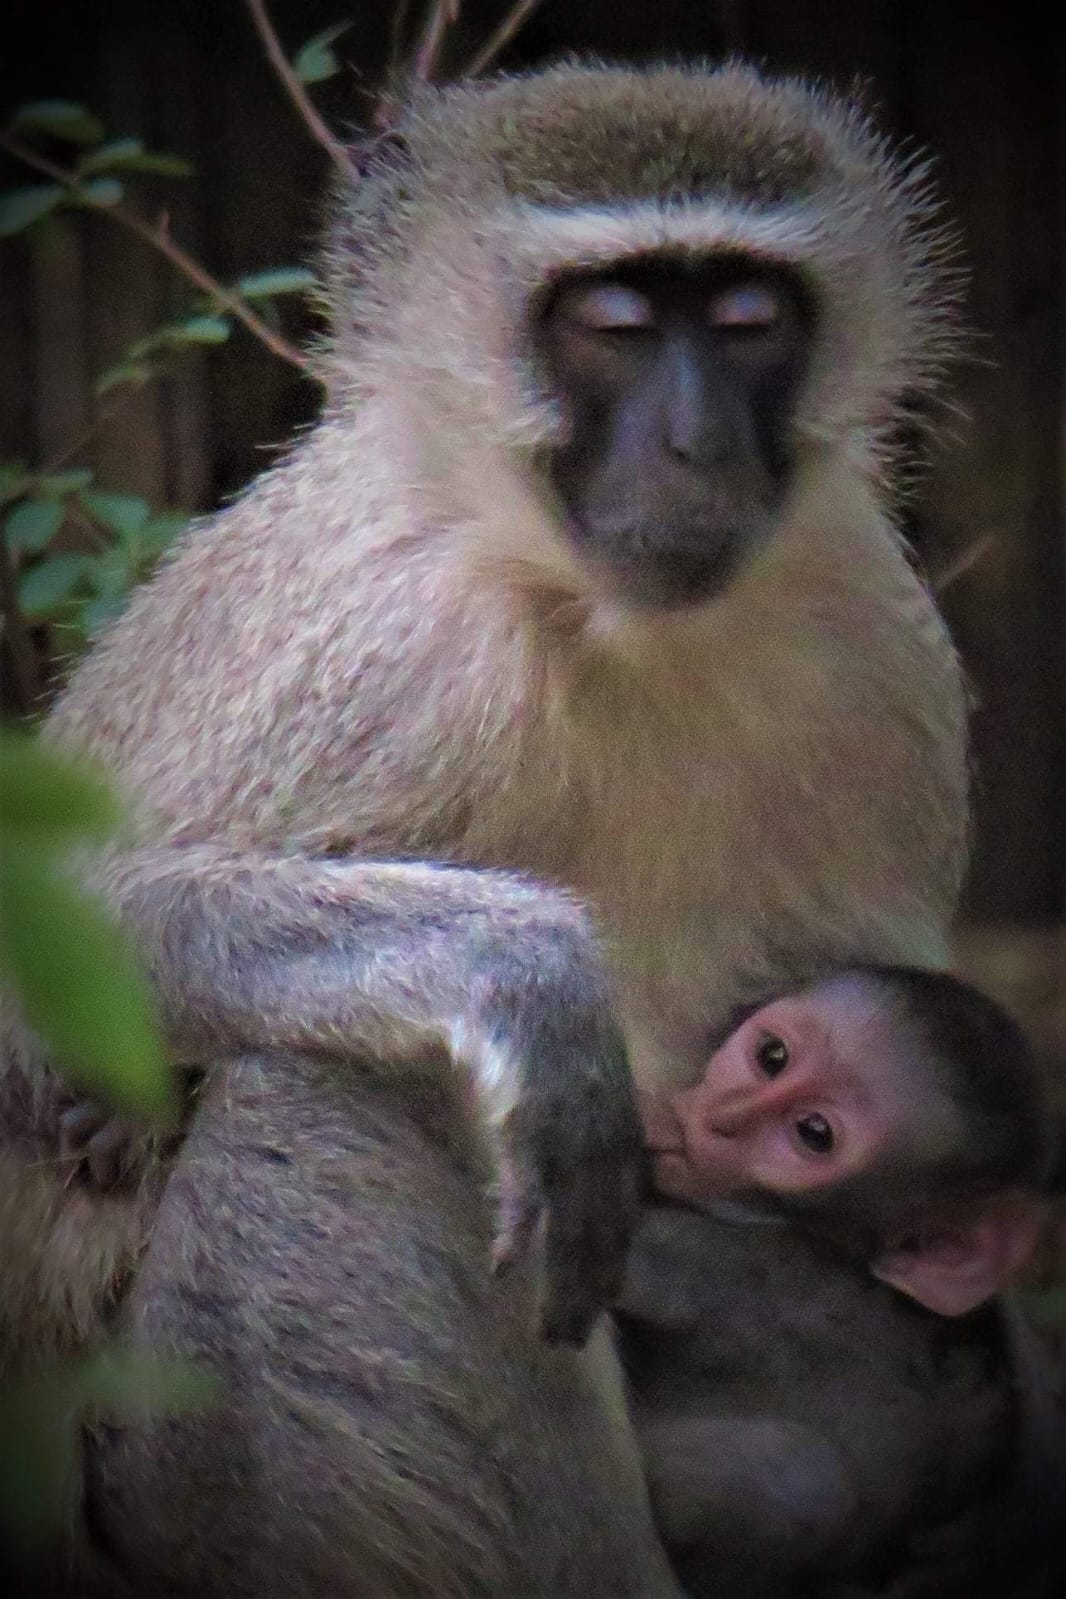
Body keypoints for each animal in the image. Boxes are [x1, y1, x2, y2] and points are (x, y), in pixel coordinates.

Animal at [0, 58, 969, 1593]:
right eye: (613, 327)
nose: (696, 445)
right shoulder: (390, 653)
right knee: (339, 1093)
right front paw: (524, 971)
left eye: (748, 321)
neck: (607, 626)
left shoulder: (878, 643)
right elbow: (54, 975)